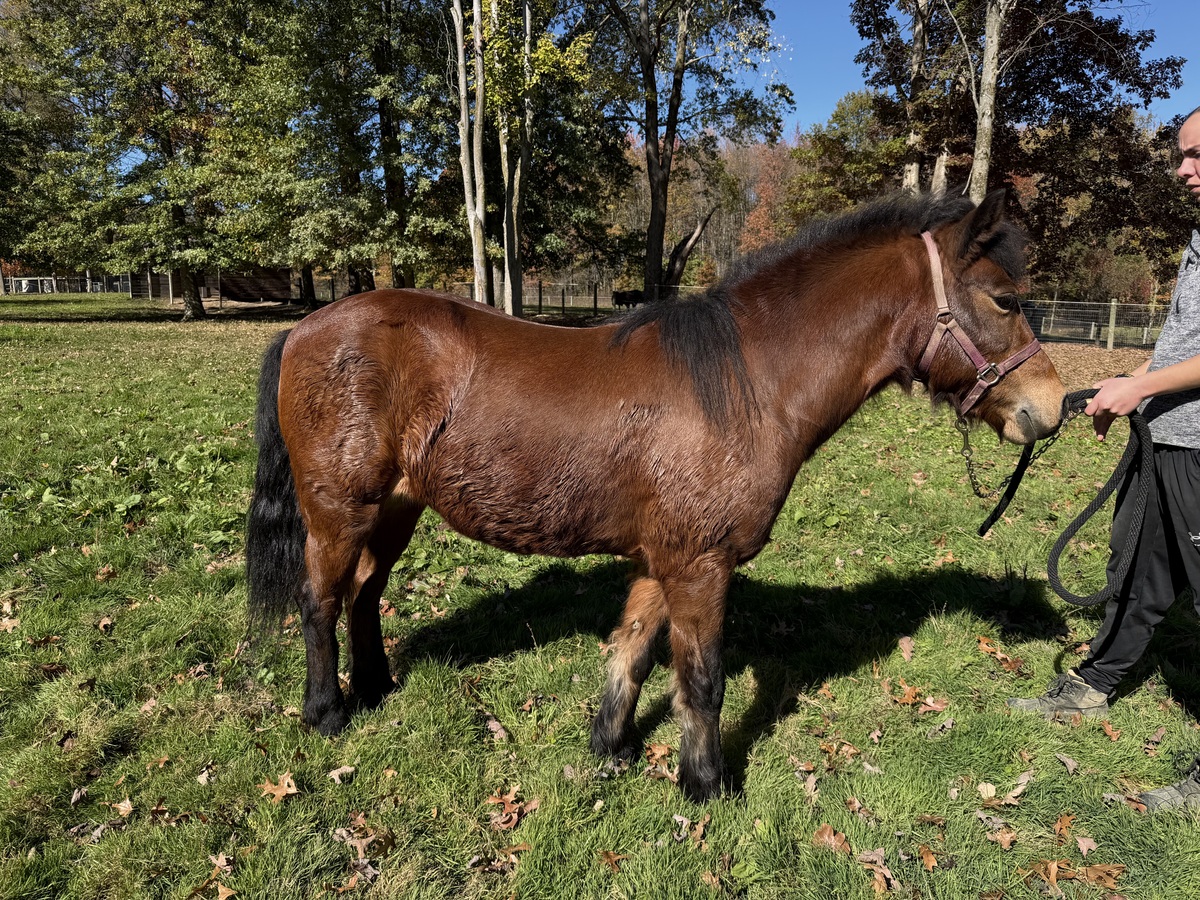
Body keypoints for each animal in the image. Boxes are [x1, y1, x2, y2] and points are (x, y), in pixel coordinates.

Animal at [245, 190, 1065, 801]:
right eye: (1003, 298)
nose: (1053, 406)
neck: (745, 383)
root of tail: (306, 328)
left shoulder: (661, 560)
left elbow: (633, 651)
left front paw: (608, 749)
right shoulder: (700, 566)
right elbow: (701, 681)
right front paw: (706, 786)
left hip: (396, 508)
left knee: (364, 594)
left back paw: (376, 686)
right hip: (340, 512)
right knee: (320, 601)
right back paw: (326, 712)